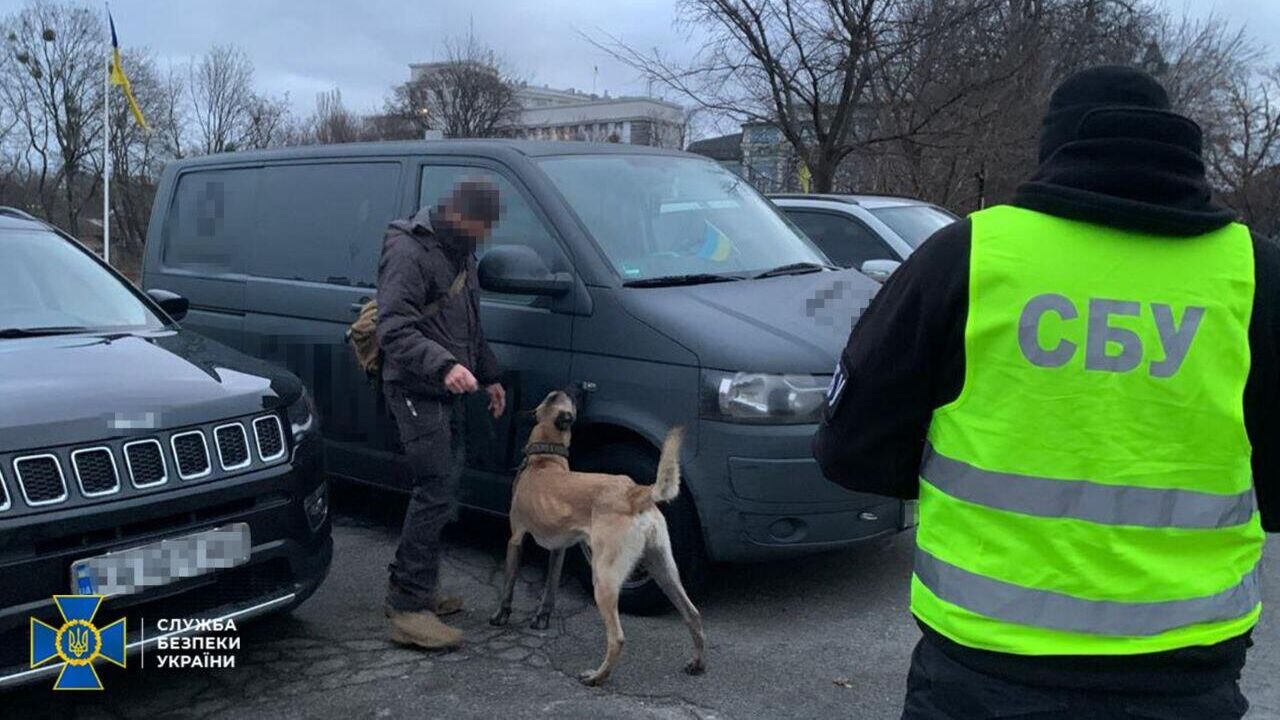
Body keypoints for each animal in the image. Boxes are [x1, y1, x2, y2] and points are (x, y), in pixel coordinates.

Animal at [491, 389, 711, 681]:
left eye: (555, 396)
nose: (576, 388)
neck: (545, 460)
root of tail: (633, 492)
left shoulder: (515, 539)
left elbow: (509, 584)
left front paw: (500, 616)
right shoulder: (559, 550)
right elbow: (550, 589)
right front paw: (542, 618)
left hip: (604, 578)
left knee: (617, 637)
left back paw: (597, 677)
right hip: (664, 570)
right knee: (692, 614)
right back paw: (697, 662)